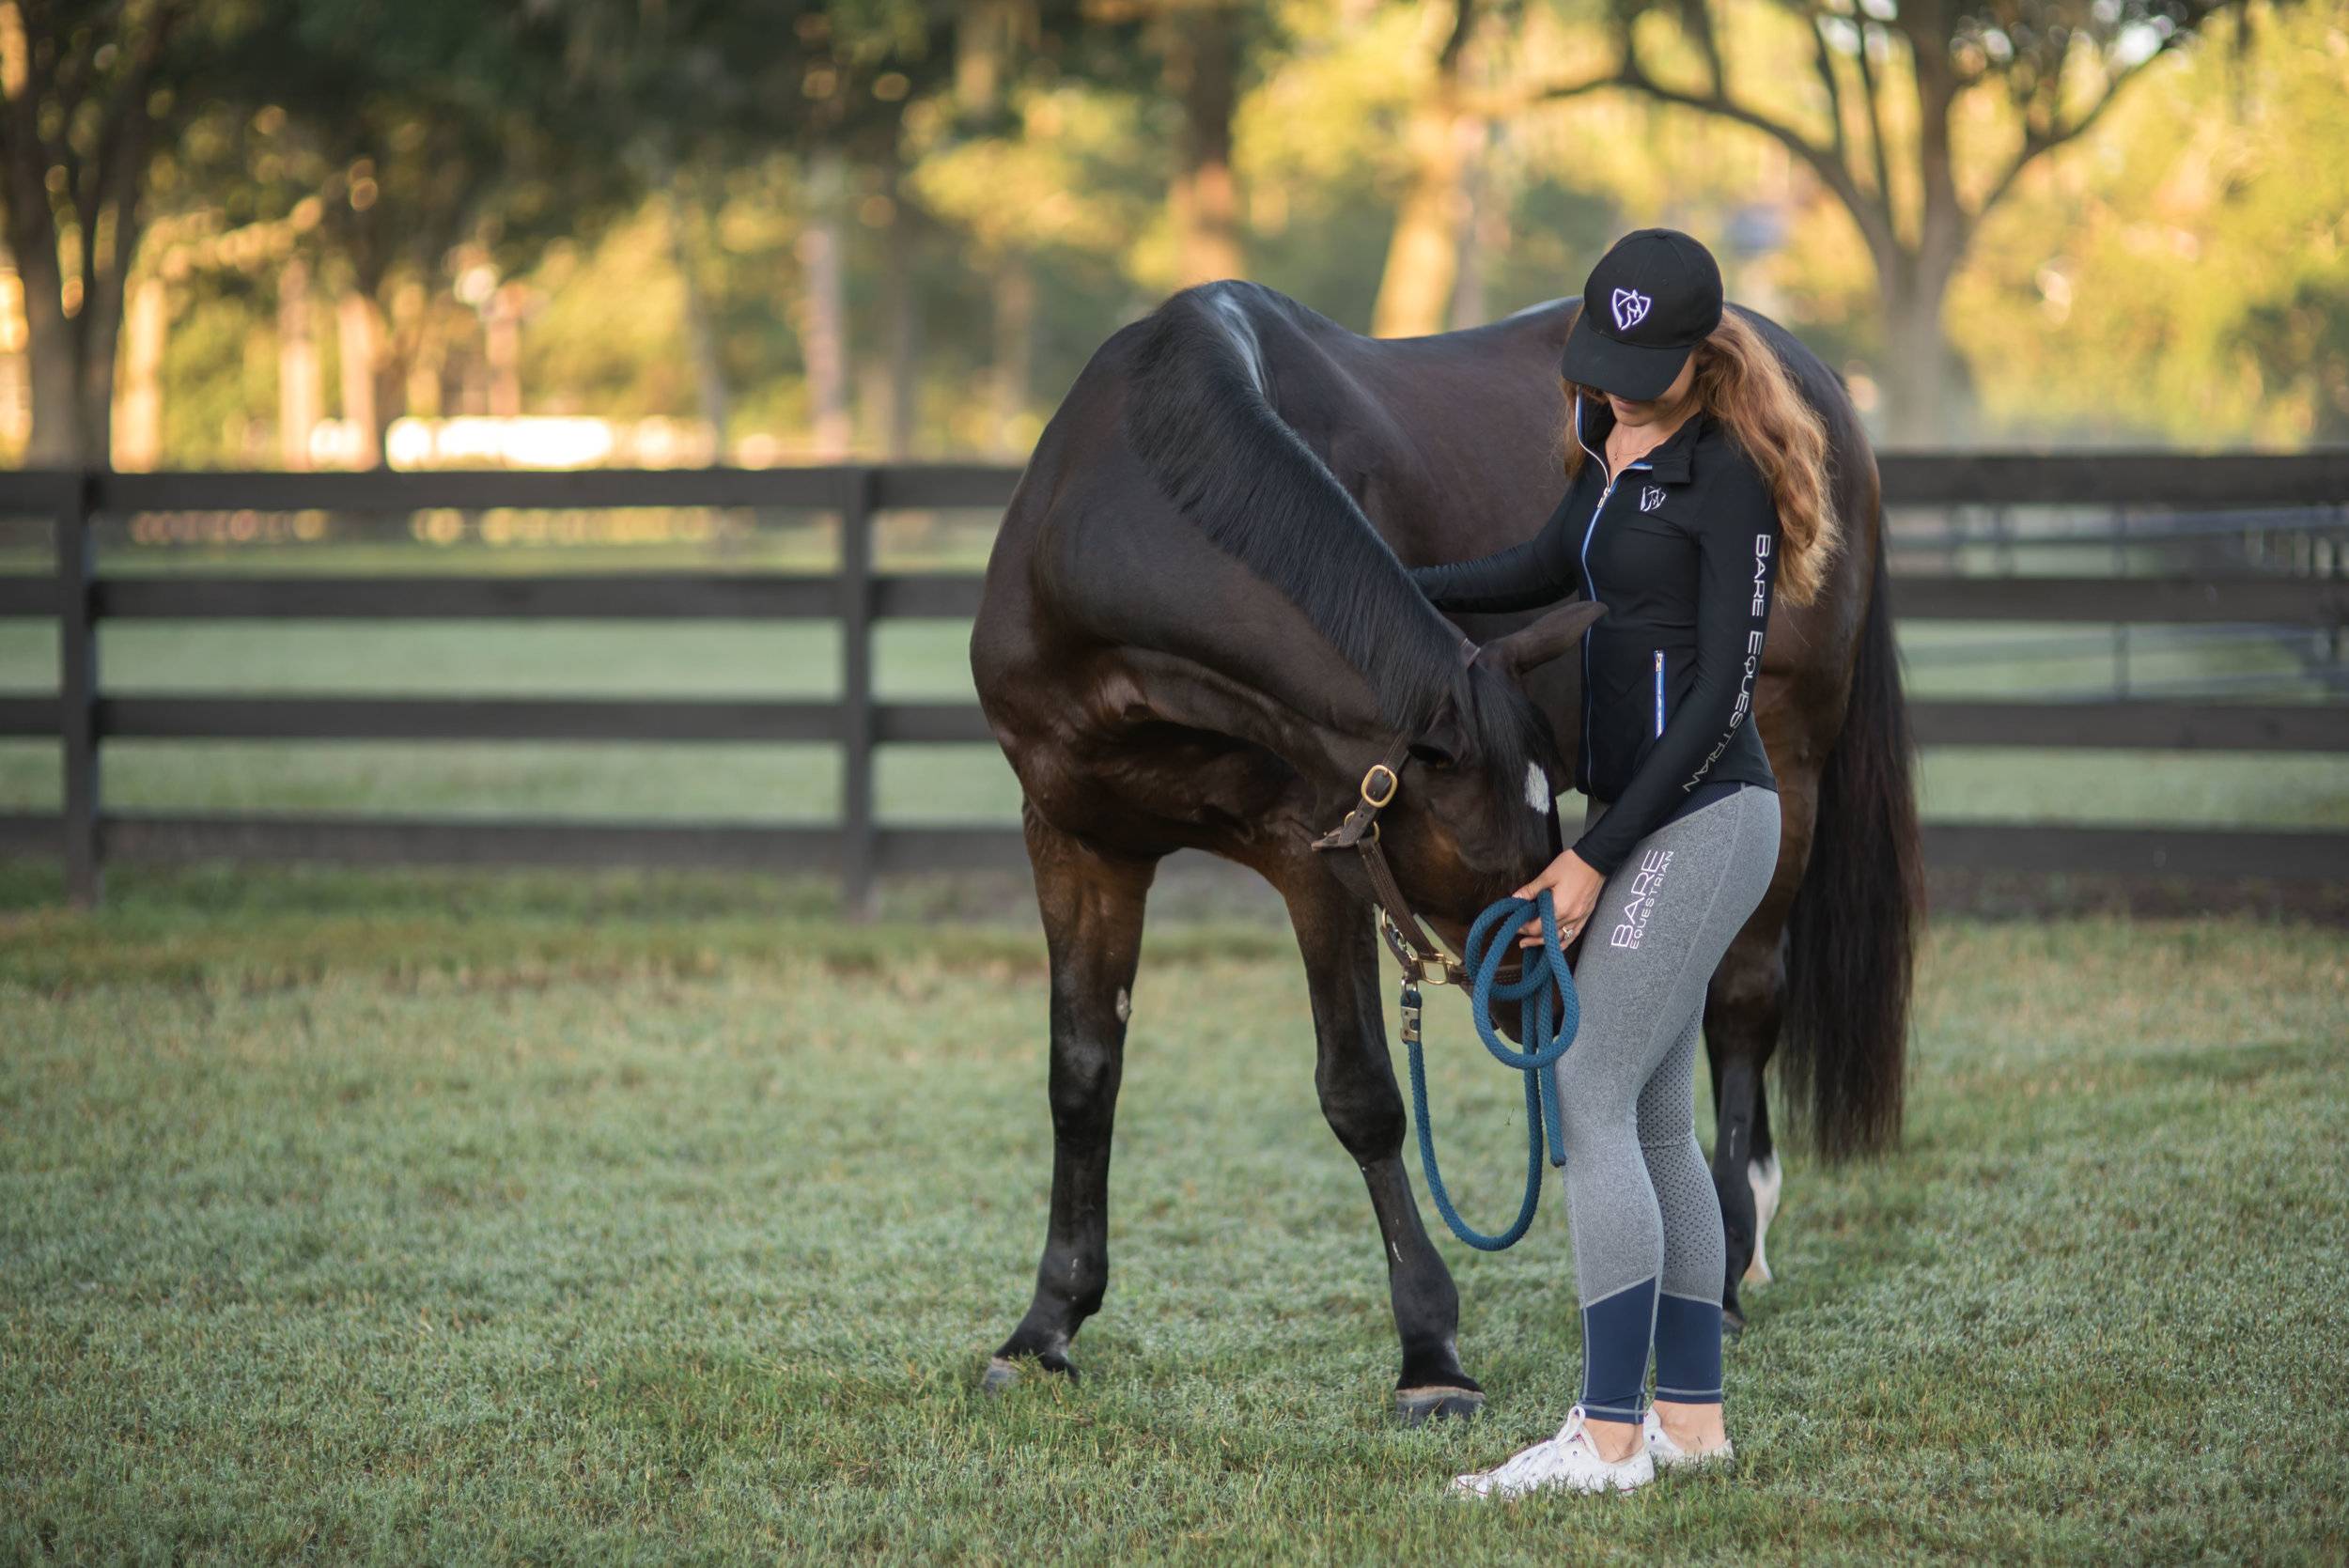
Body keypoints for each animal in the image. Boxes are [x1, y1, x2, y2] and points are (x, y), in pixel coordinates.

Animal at [963, 278, 1917, 1418]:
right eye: (1490, 834)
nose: (1536, 991)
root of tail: (1808, 382)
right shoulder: (1077, 841)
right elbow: (1080, 1078)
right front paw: (1046, 1325)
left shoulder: (1317, 854)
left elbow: (1362, 1096)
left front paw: (1429, 1351)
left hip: (1783, 758)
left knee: (1740, 1001)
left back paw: (1724, 1268)